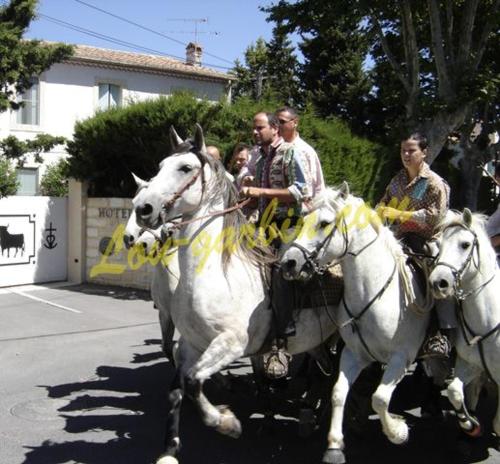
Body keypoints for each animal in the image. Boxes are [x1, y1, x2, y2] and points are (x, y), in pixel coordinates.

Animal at [133, 124, 340, 464]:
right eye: (161, 165)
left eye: (185, 168)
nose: (143, 209)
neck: (216, 276)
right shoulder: (191, 343)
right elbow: (177, 388)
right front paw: (170, 449)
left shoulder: (232, 343)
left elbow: (194, 381)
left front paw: (226, 422)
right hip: (316, 341)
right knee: (324, 373)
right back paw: (310, 414)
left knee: (331, 375)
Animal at [280, 185, 432, 464]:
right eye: (302, 220)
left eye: (325, 223)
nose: (289, 262)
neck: (375, 294)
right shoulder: (353, 353)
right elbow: (339, 392)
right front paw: (334, 445)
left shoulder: (401, 358)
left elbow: (380, 399)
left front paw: (398, 432)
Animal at [428, 209, 498, 438]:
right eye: (438, 245)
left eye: (465, 244)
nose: (437, 283)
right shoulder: (470, 364)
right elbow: (454, 392)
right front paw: (469, 424)